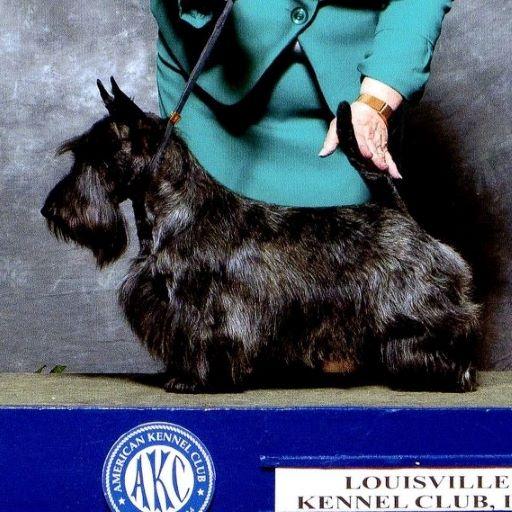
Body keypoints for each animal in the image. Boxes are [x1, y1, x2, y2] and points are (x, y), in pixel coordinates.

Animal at [41, 78, 480, 393]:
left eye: (98, 156)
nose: (51, 211)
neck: (177, 210)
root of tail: (398, 212)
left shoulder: (201, 304)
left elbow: (200, 338)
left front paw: (191, 380)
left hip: (415, 303)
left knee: (442, 333)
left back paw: (453, 375)